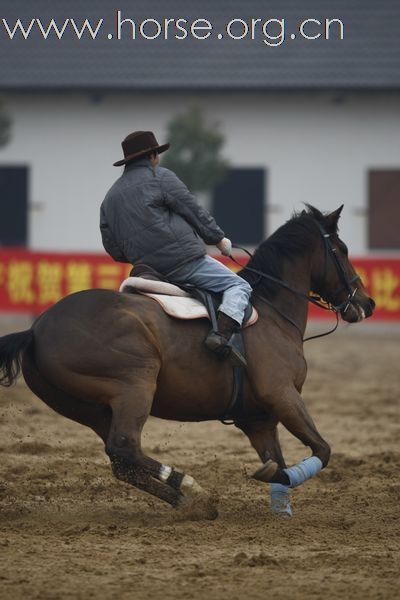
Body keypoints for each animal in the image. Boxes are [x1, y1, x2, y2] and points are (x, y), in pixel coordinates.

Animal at [0, 205, 376, 516]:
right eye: (342, 250)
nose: (368, 303)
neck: (271, 311)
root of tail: (36, 330)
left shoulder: (259, 419)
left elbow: (279, 462)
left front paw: (280, 504)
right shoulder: (283, 395)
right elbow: (321, 450)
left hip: (90, 410)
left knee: (121, 462)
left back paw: (189, 501)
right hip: (134, 386)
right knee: (125, 447)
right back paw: (191, 488)